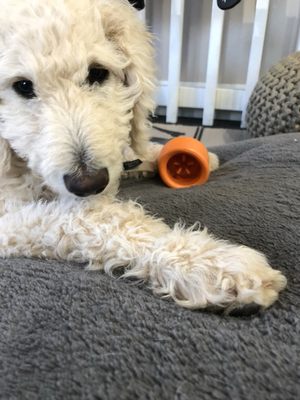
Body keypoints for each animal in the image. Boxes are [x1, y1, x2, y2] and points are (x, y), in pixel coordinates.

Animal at [0, 0, 286, 312]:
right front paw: (211, 265)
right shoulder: (9, 217)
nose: (89, 183)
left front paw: (172, 155)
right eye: (23, 86)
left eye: (97, 73)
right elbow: (83, 220)